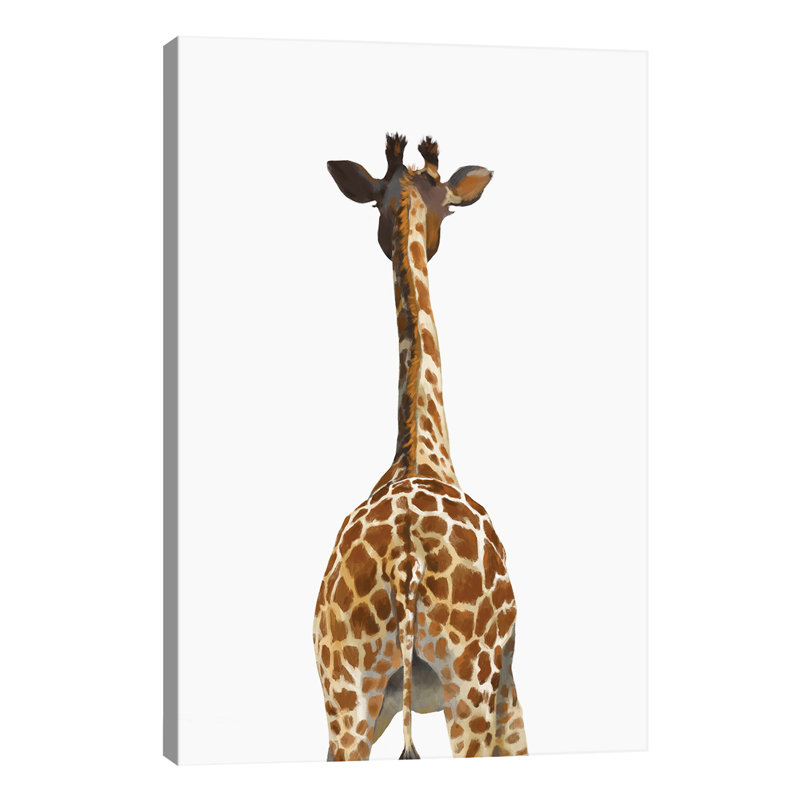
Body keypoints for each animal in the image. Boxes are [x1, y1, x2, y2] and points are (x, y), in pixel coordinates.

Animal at [313, 134, 527, 761]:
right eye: (450, 208)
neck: (423, 451)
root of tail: (405, 559)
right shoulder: (510, 686)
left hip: (347, 698)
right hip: (469, 684)